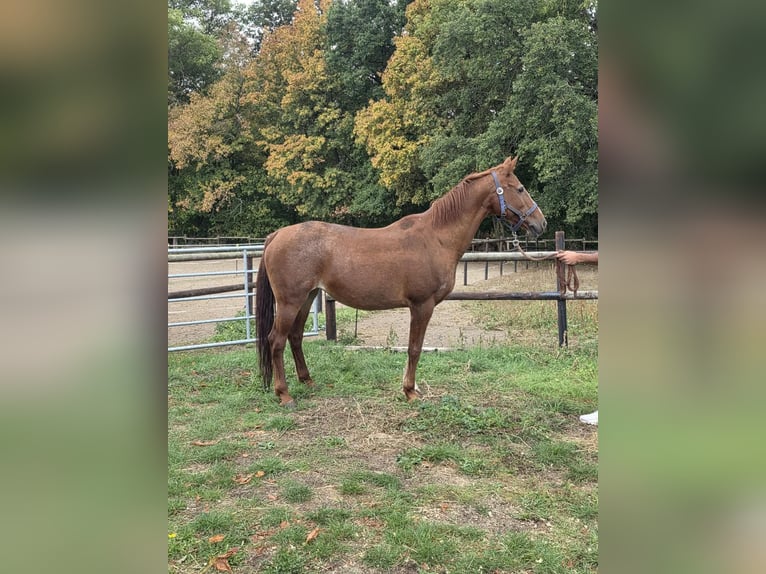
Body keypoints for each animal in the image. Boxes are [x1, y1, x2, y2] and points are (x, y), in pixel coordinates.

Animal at [256, 156, 547, 406]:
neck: (436, 238)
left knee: (295, 337)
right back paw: (284, 394)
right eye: (520, 189)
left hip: (307, 297)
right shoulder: (422, 305)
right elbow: (414, 348)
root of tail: (277, 235)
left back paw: (307, 381)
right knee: (276, 340)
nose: (540, 224)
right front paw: (410, 391)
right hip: (290, 302)